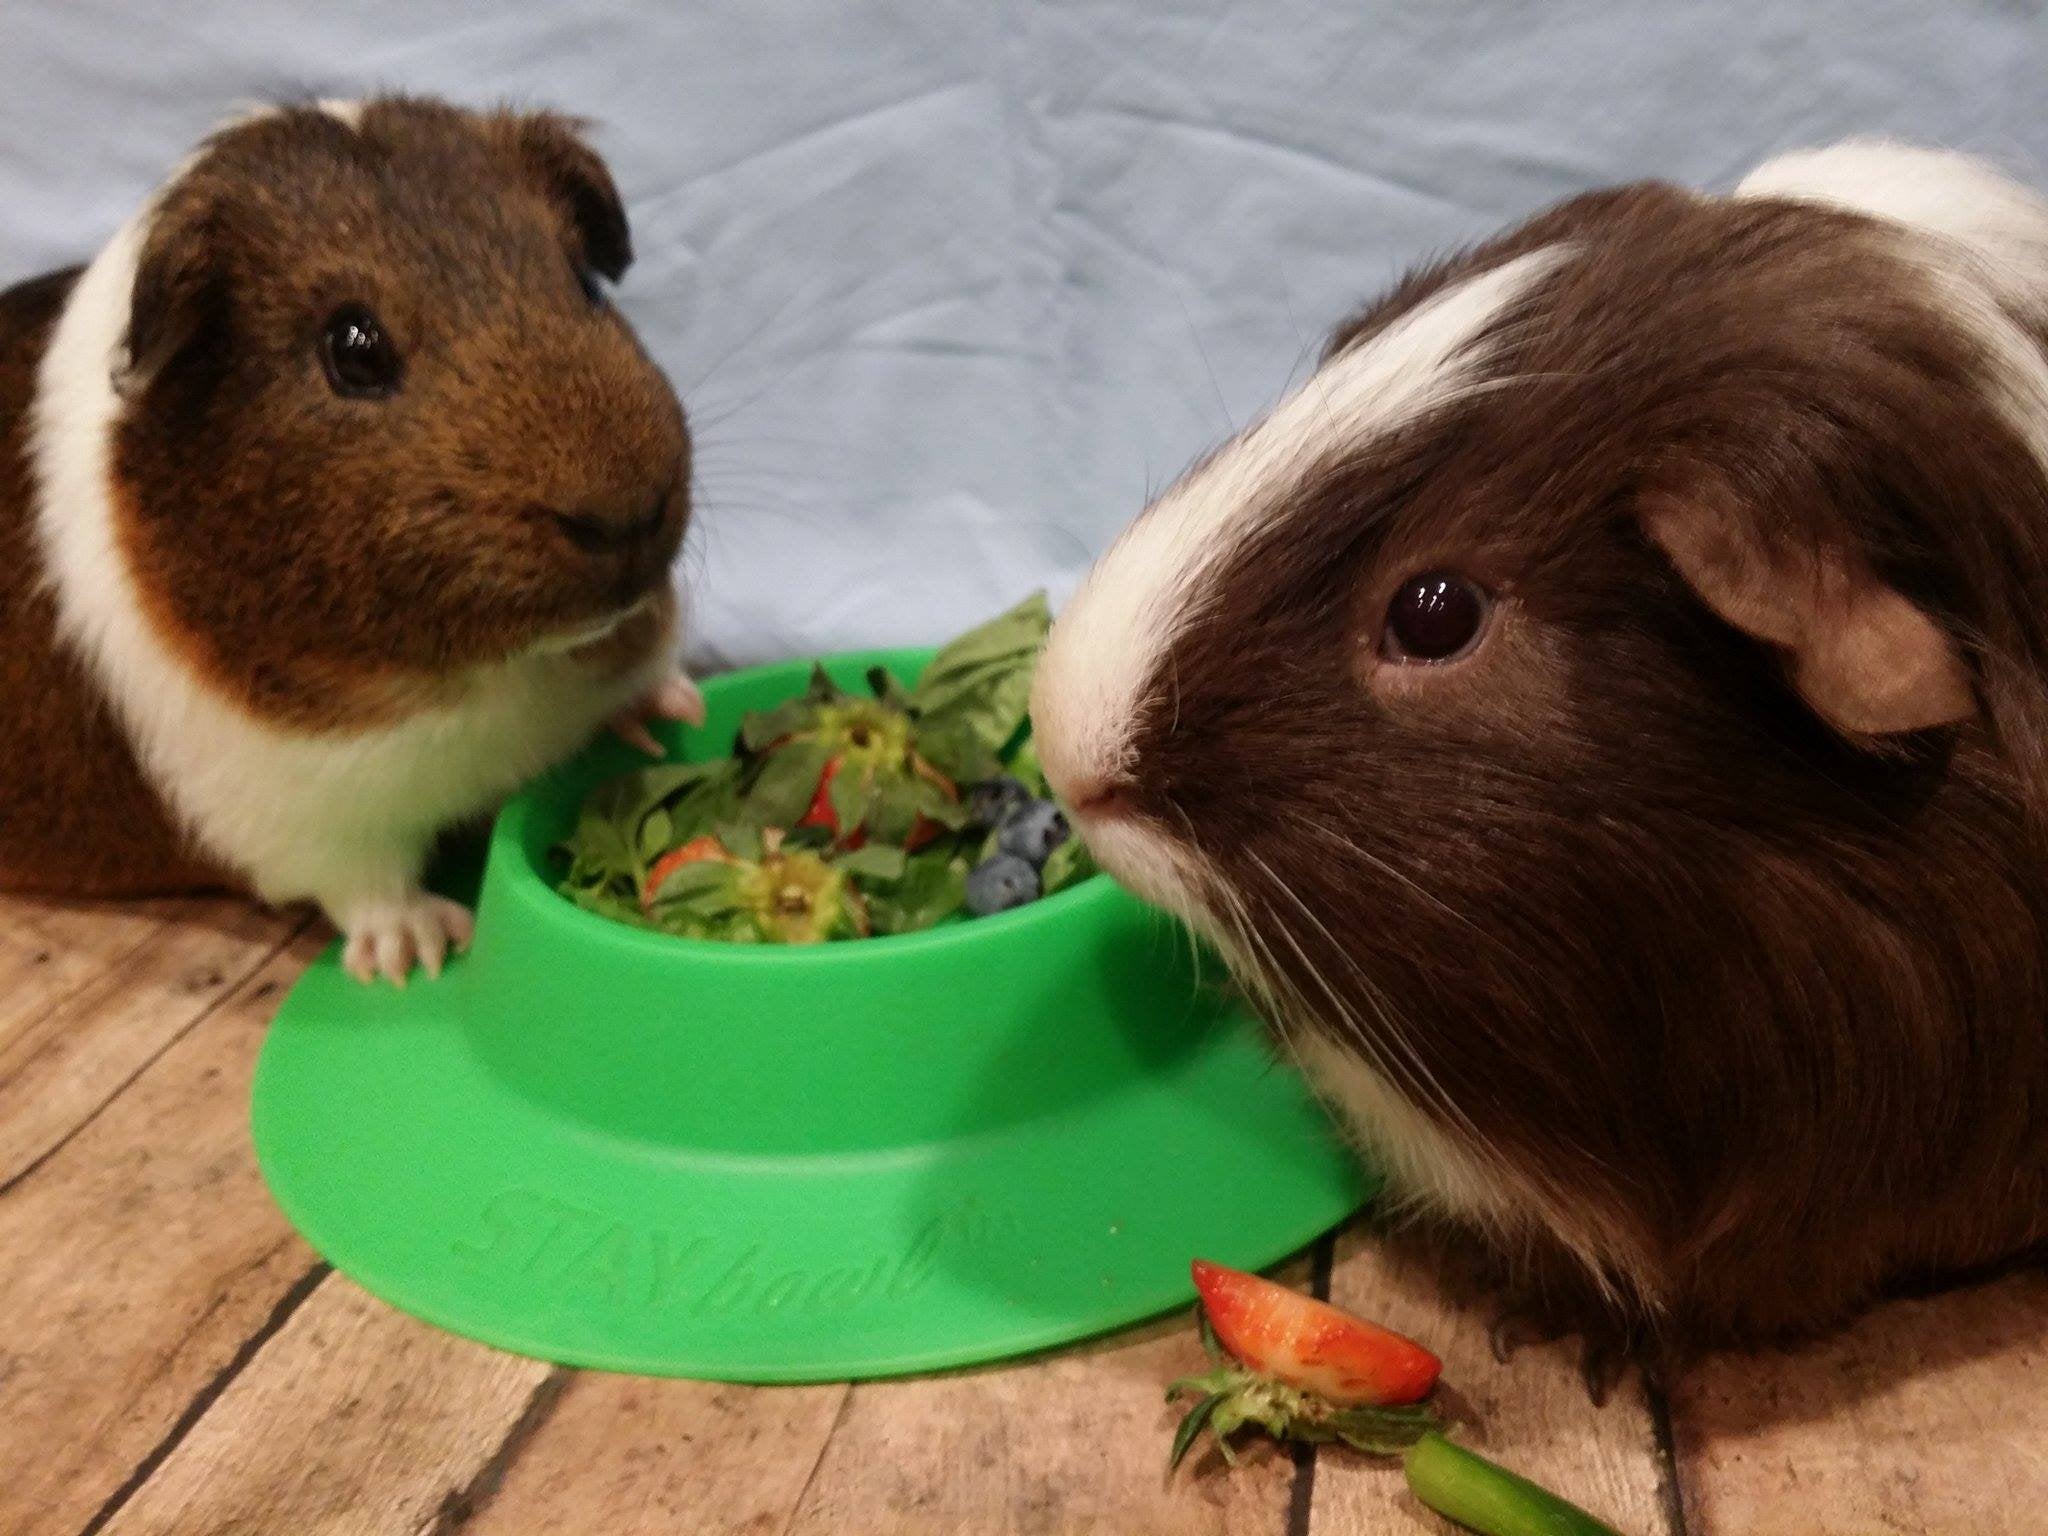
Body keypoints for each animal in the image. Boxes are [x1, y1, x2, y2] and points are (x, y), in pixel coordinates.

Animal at [0, 96, 703, 983]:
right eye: (353, 346)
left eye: (582, 281)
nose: (626, 518)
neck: (497, 680)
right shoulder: (306, 823)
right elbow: (370, 888)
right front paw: (418, 955)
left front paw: (669, 710)